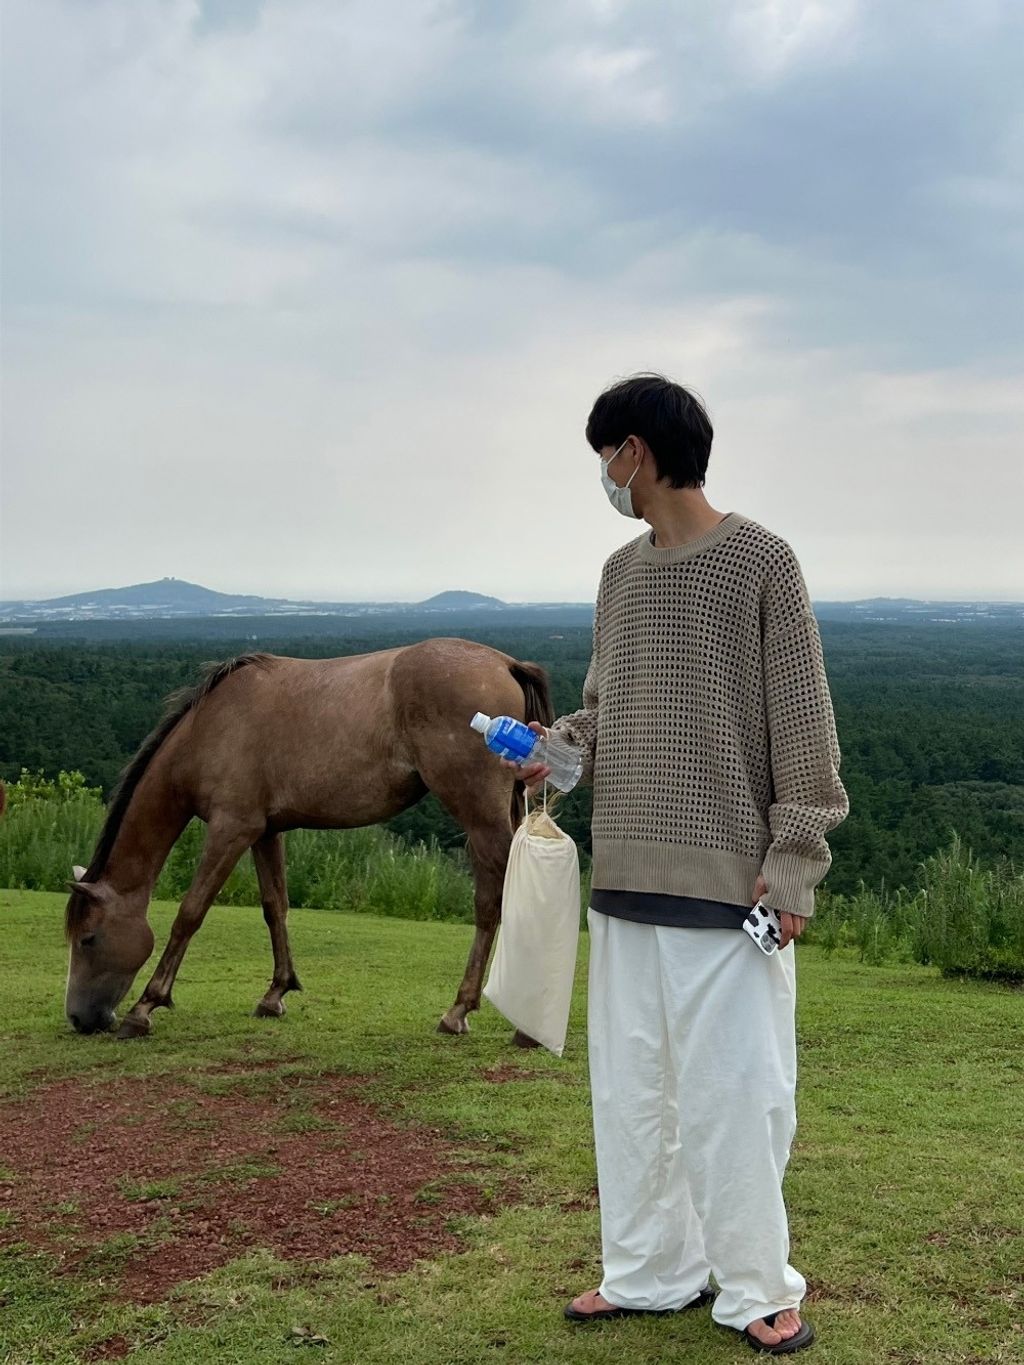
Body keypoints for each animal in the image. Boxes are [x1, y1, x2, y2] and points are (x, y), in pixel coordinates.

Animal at [63, 638, 553, 1041]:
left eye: (88, 938)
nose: (79, 1018)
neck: (208, 730)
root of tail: (505, 663)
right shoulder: (264, 832)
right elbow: (274, 907)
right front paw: (275, 993)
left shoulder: (230, 830)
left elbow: (190, 913)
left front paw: (145, 1006)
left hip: (479, 815)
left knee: (497, 899)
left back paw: (473, 1013)